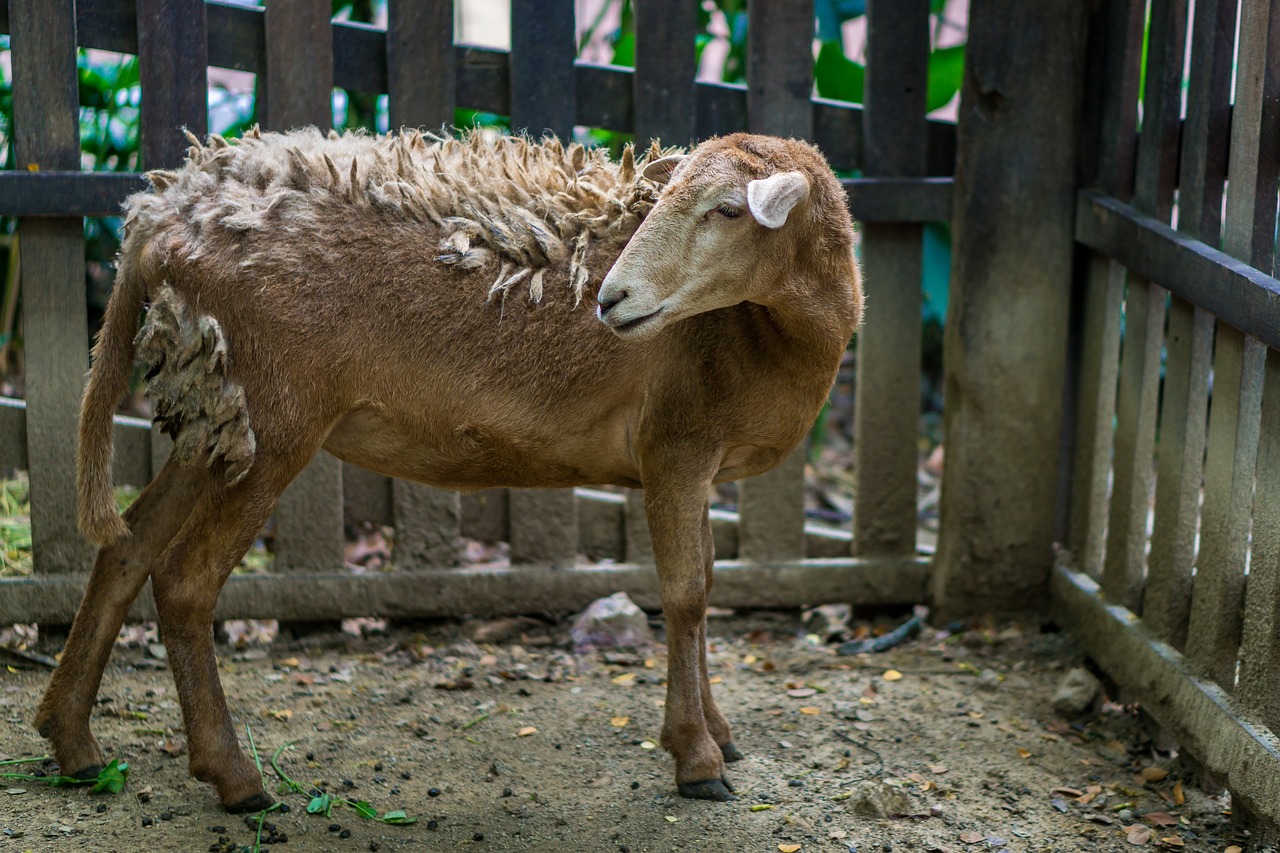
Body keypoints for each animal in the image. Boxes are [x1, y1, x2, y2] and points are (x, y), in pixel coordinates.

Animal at [35, 122, 865, 809]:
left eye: (728, 210)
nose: (611, 298)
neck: (768, 335)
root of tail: (158, 217)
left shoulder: (699, 462)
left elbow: (710, 586)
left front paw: (719, 733)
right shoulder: (675, 446)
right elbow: (688, 597)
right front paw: (696, 759)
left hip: (217, 418)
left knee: (127, 546)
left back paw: (73, 741)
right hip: (271, 416)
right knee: (184, 580)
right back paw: (236, 778)